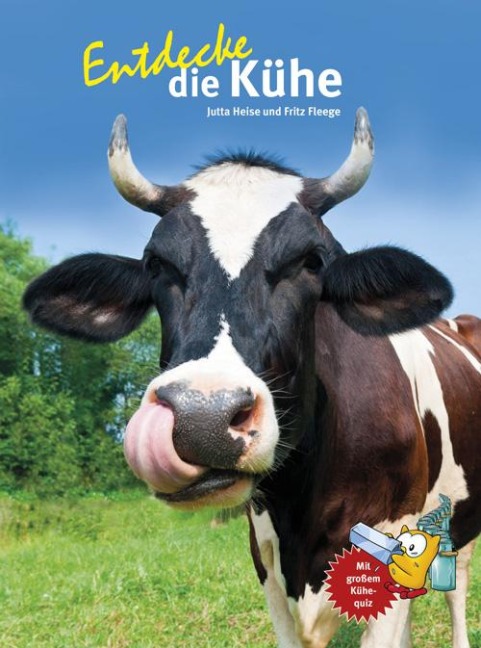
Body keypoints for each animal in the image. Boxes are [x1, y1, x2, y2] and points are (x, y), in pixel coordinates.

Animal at [23, 108, 481, 648]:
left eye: (312, 261)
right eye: (157, 264)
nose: (202, 419)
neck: (302, 508)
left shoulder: (395, 530)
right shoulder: (264, 554)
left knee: (457, 582)